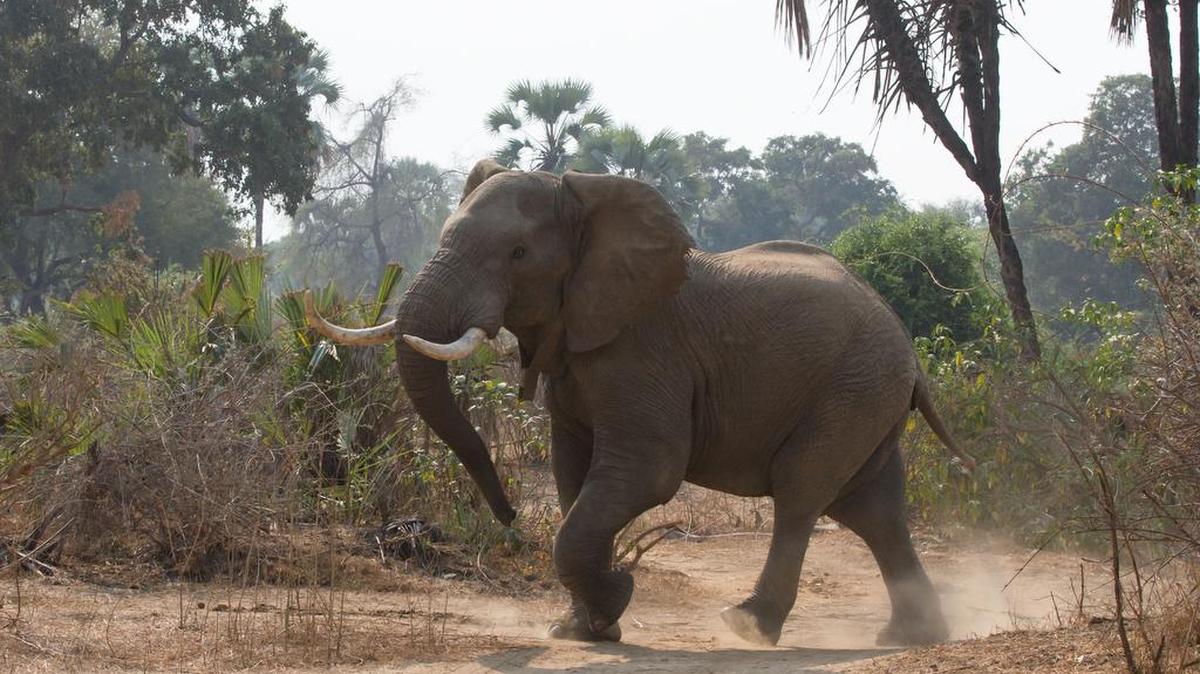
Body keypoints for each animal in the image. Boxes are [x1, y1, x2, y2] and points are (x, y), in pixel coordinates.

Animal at [304, 159, 975, 647]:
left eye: (518, 255)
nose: (509, 515)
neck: (584, 201)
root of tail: (910, 351)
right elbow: (573, 474)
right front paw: (584, 628)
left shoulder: (643, 351)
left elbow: (647, 472)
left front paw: (613, 602)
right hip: (868, 393)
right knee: (872, 507)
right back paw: (910, 636)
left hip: (853, 387)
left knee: (804, 491)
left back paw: (748, 625)